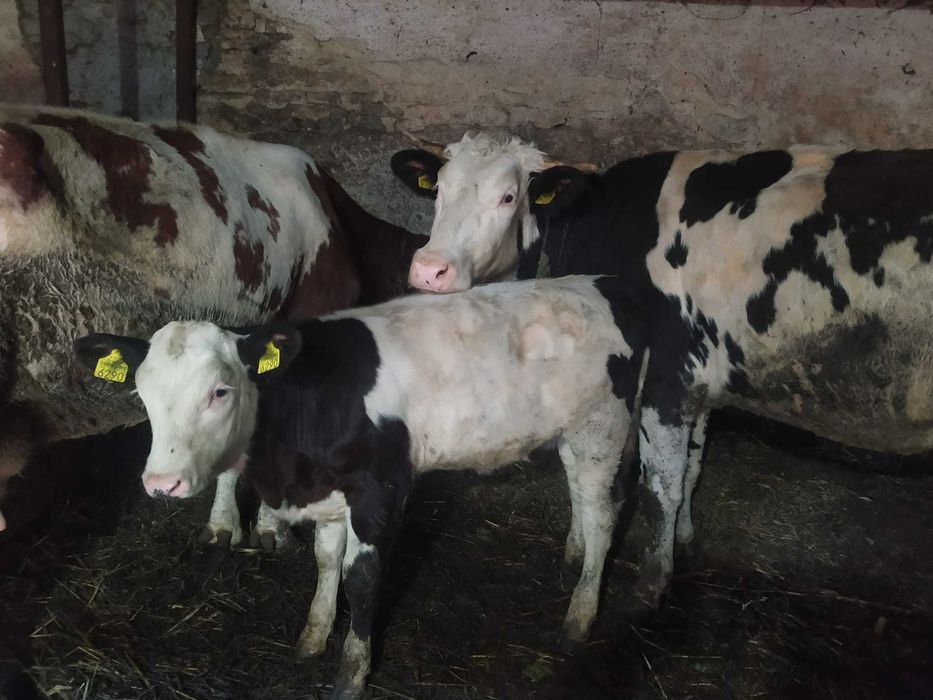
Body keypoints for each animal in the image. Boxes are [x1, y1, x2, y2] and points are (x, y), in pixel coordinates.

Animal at [73, 274, 648, 699]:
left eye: (220, 391)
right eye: (141, 394)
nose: (161, 483)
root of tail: (598, 282)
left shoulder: (379, 489)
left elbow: (363, 578)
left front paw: (351, 671)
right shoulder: (331, 494)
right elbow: (327, 560)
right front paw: (313, 636)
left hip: (602, 427)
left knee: (604, 513)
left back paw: (579, 616)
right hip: (573, 434)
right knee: (580, 496)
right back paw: (573, 555)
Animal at [391, 132, 933, 609]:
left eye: (508, 197)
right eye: (438, 189)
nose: (429, 270)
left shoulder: (665, 380)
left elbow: (658, 487)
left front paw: (649, 582)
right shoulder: (699, 384)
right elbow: (688, 469)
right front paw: (680, 541)